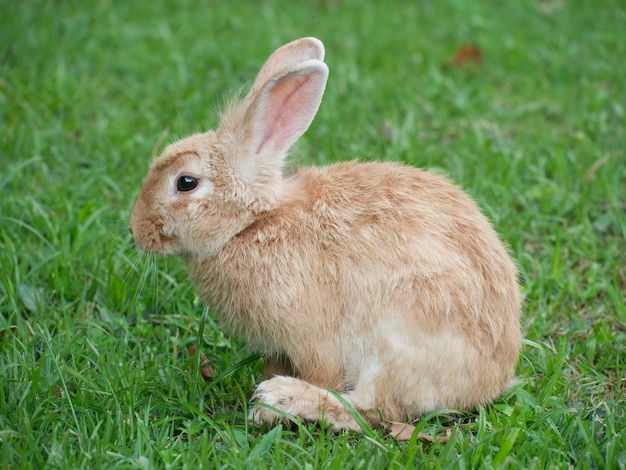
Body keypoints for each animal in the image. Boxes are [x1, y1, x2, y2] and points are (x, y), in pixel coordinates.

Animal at [129, 37, 520, 434]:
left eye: (185, 183)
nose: (136, 230)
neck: (252, 225)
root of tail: (490, 379)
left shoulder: (310, 336)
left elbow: (325, 374)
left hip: (400, 334)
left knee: (371, 410)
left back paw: (280, 401)